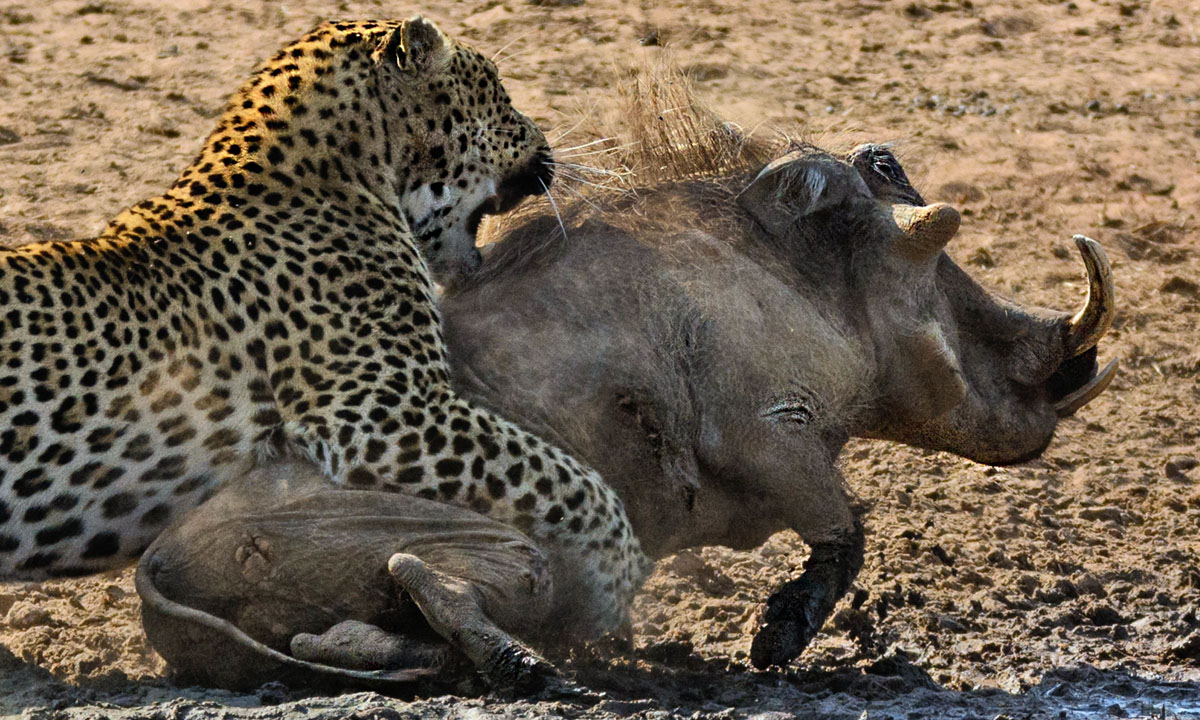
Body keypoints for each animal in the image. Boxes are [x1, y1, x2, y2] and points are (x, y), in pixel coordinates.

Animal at [0, 16, 649, 642]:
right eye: (497, 91)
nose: (548, 148)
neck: (352, 174)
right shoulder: (384, 412)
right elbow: (562, 477)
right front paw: (620, 577)